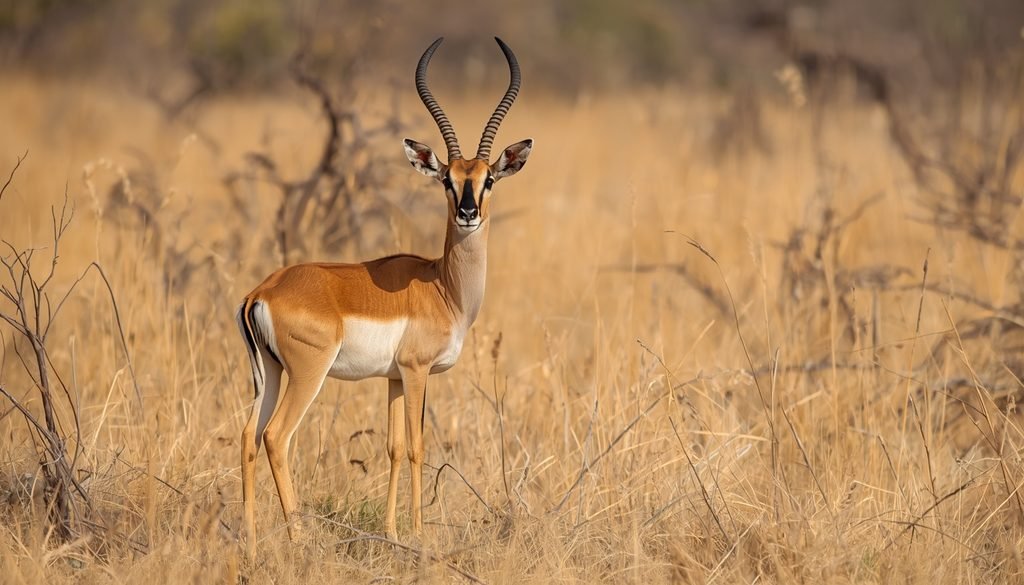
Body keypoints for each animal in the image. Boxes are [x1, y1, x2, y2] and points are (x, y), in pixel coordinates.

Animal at [235, 37, 532, 550]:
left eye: (488, 178)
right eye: (448, 179)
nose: (468, 214)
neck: (443, 287)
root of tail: (262, 291)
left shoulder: (393, 377)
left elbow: (392, 447)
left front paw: (393, 531)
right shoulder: (416, 371)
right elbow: (415, 446)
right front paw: (418, 533)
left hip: (268, 374)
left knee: (247, 439)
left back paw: (252, 545)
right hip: (307, 374)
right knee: (275, 437)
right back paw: (299, 537)